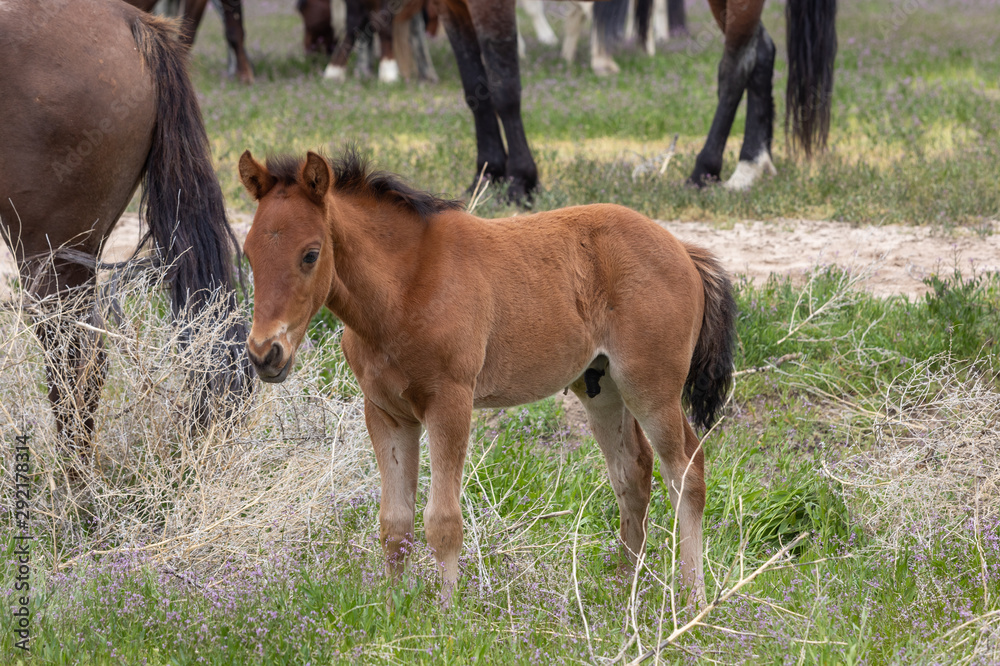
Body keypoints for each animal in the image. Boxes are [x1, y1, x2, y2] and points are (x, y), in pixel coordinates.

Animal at [238, 147, 736, 600]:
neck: (404, 289)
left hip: (651, 388)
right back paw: (623, 591)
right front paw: (393, 610)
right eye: (248, 253)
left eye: (310, 254)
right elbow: (394, 523)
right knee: (633, 474)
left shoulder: (449, 403)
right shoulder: (385, 412)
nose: (265, 354)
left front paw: (448, 613)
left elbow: (443, 520)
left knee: (686, 470)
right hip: (602, 388)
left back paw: (692, 598)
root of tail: (683, 249)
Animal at [437, 0, 836, 201]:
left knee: (736, 65)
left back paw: (705, 171)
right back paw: (753, 163)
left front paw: (521, 179)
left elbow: (504, 86)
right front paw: (487, 173)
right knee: (761, 49)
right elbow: (474, 85)